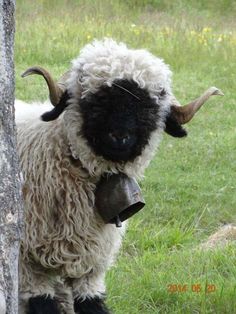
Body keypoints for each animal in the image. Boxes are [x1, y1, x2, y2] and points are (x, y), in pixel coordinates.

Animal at [15, 38, 223, 312]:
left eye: (149, 107)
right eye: (95, 101)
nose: (120, 137)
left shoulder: (92, 266)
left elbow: (92, 303)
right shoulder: (28, 263)